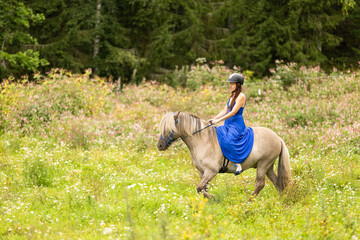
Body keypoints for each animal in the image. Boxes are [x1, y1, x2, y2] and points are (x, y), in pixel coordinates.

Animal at [158, 111, 292, 200]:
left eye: (169, 128)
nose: (159, 146)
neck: (203, 141)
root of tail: (277, 137)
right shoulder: (202, 172)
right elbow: (202, 188)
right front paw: (210, 198)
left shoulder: (211, 171)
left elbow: (199, 188)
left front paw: (212, 197)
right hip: (268, 167)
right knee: (277, 182)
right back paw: (280, 199)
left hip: (263, 164)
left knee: (260, 184)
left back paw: (249, 201)